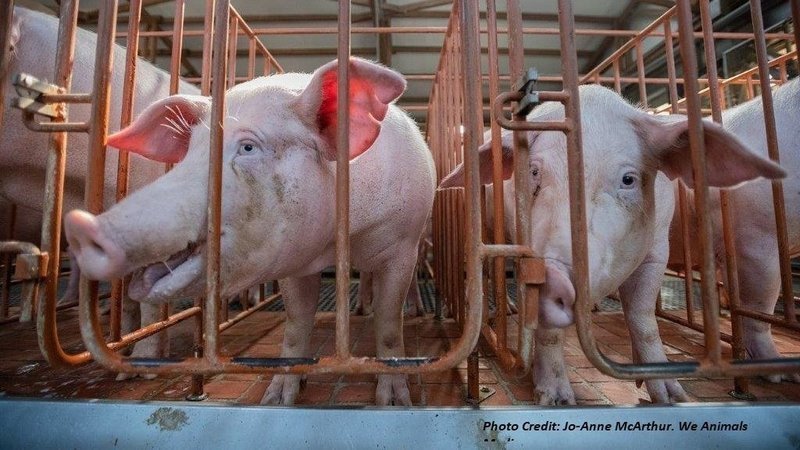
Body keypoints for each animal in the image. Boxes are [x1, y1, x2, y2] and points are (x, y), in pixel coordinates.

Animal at [63, 57, 437, 406]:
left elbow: (389, 323)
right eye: (191, 152)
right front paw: (278, 397)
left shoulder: (401, 247)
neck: (339, 240)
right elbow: (297, 323)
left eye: (248, 147)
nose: (81, 226)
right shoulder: (296, 262)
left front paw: (394, 400)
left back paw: (412, 311)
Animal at [440, 83, 785, 404]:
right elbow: (549, 332)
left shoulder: (657, 251)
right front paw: (557, 399)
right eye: (534, 171)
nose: (553, 274)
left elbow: (643, 319)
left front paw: (672, 397)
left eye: (628, 179)